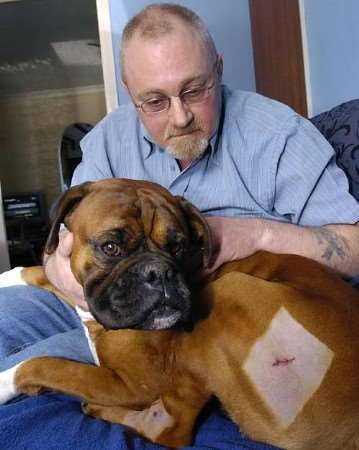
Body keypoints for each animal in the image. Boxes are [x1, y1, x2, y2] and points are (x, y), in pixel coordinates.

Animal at [0, 178, 359, 448]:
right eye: (111, 247)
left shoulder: (134, 384)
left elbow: (46, 365)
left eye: (178, 247)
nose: (159, 273)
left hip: (229, 291)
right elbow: (38, 272)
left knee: (173, 430)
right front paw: (8, 275)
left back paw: (100, 409)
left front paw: (5, 382)